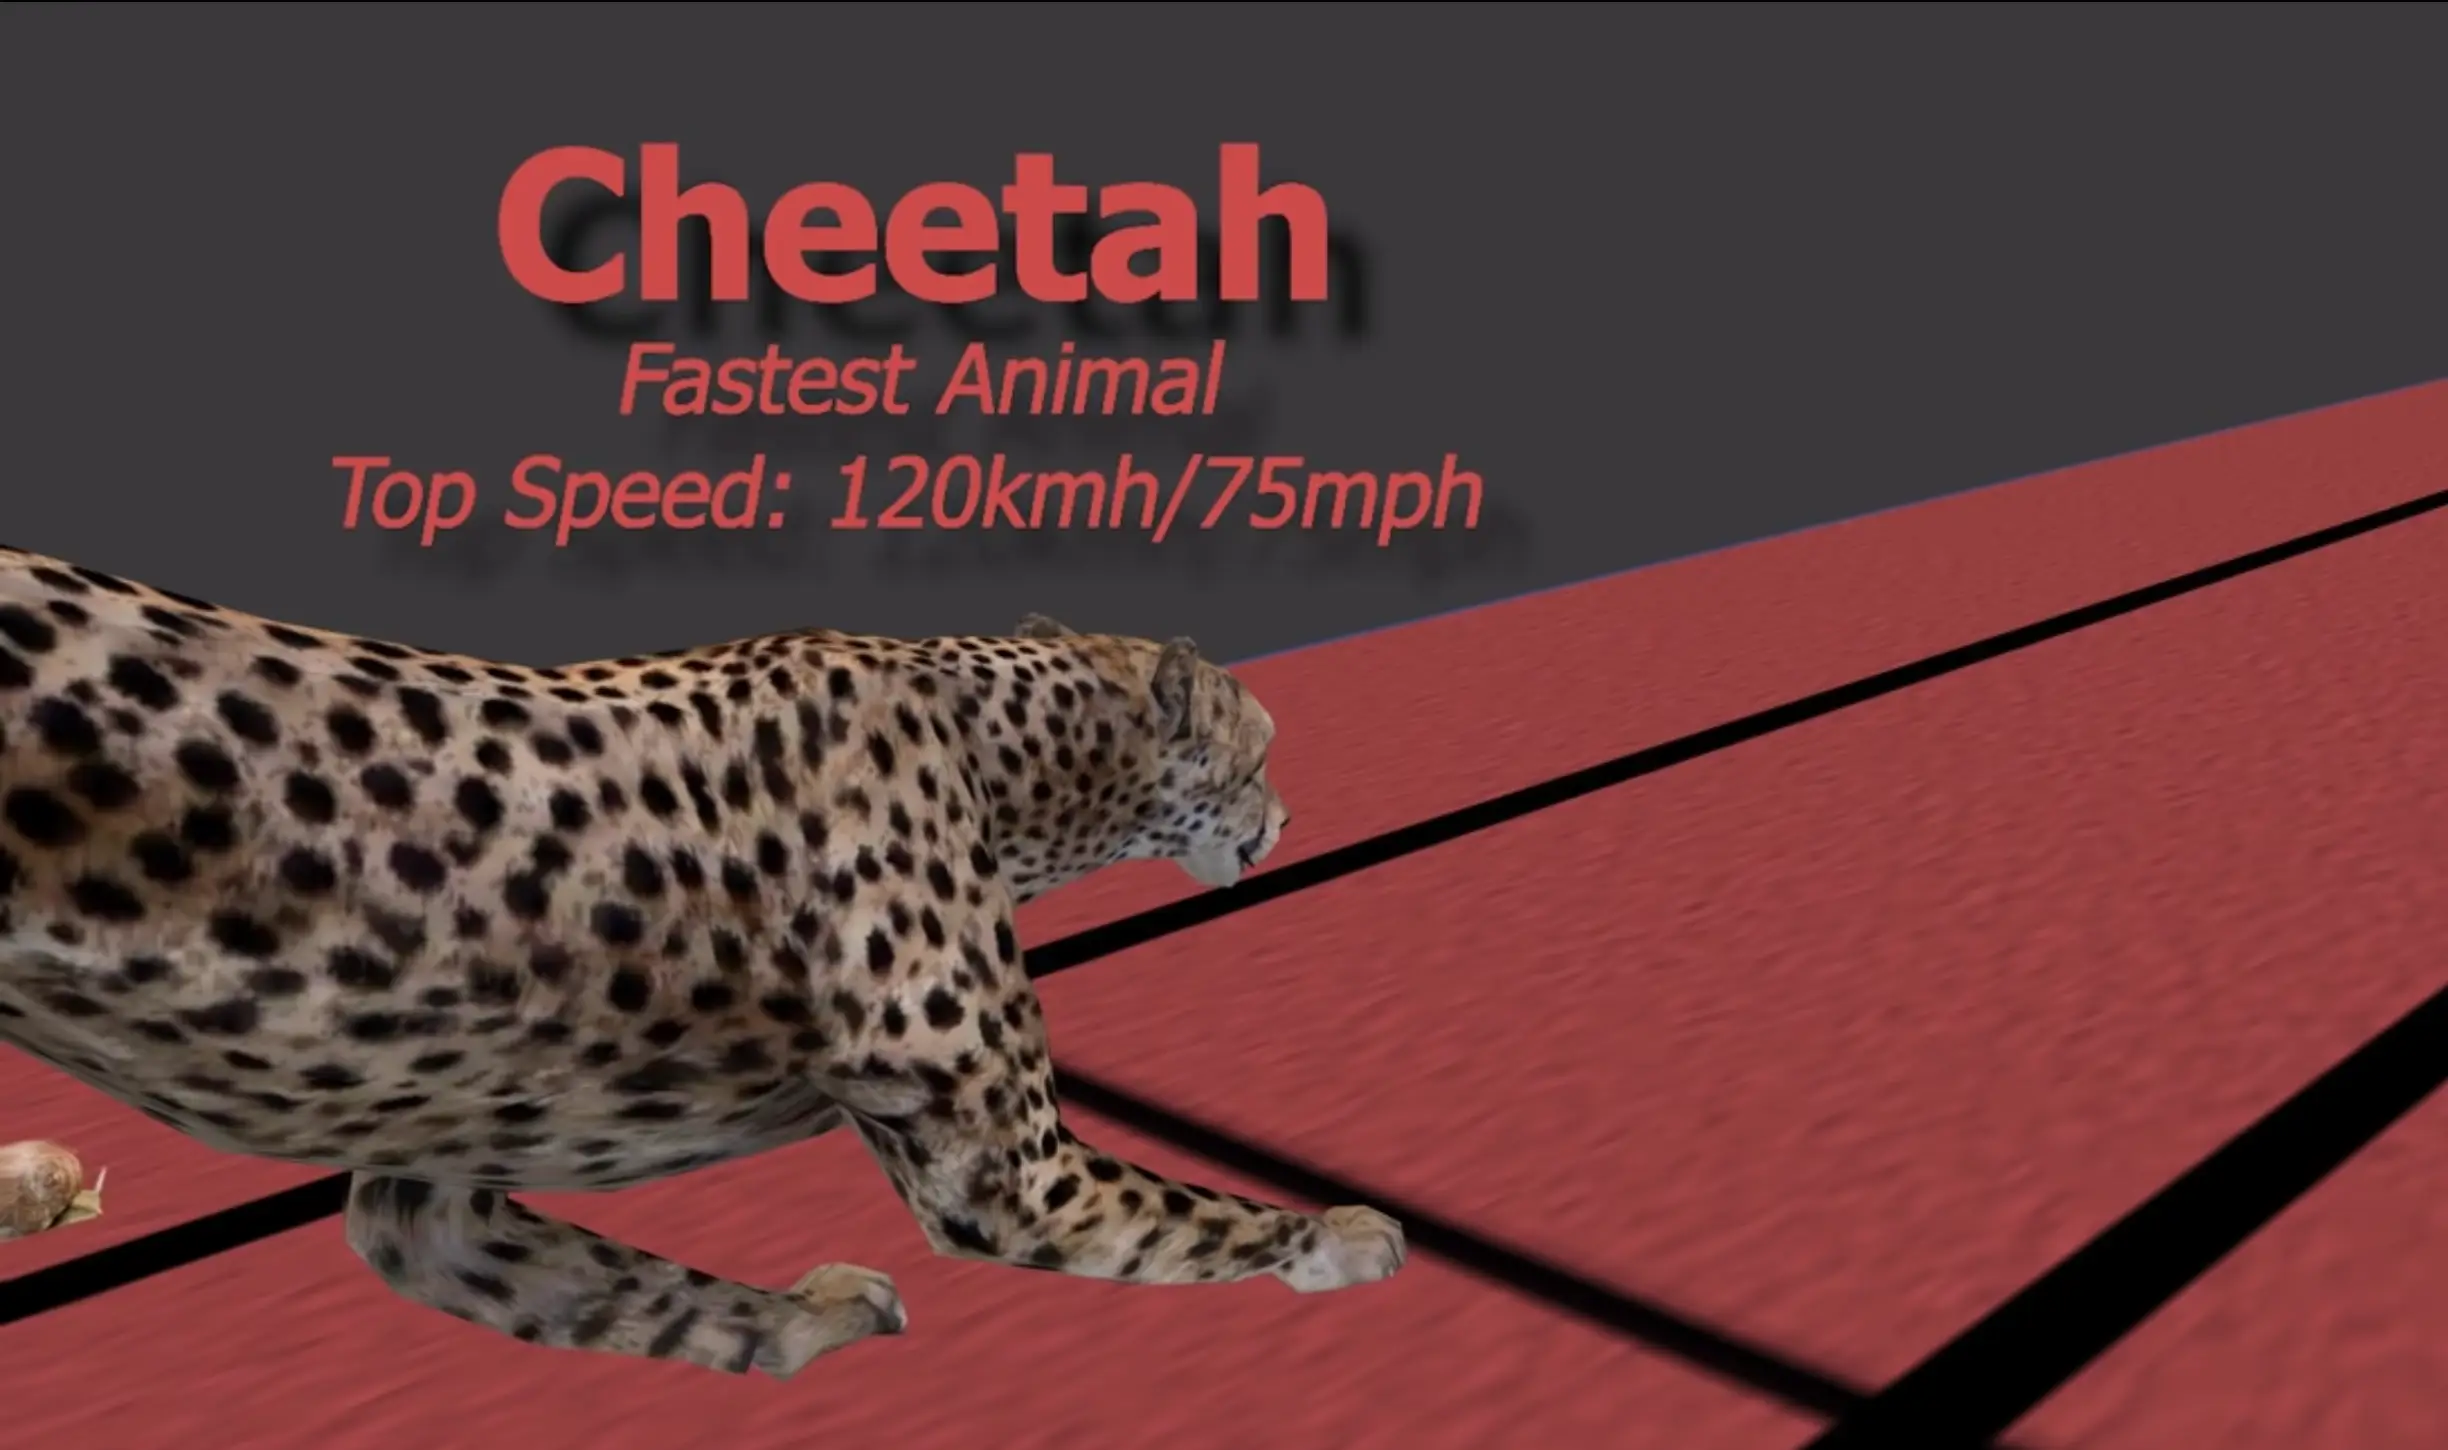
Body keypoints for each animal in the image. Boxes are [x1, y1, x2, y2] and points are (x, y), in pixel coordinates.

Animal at [0, 543, 1405, 1378]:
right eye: (1262, 754)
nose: (1289, 818)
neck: (1006, 756)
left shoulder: (431, 1190)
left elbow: (618, 1295)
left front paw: (807, 1322)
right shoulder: (1014, 1174)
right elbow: (1201, 1211)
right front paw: (1338, 1233)